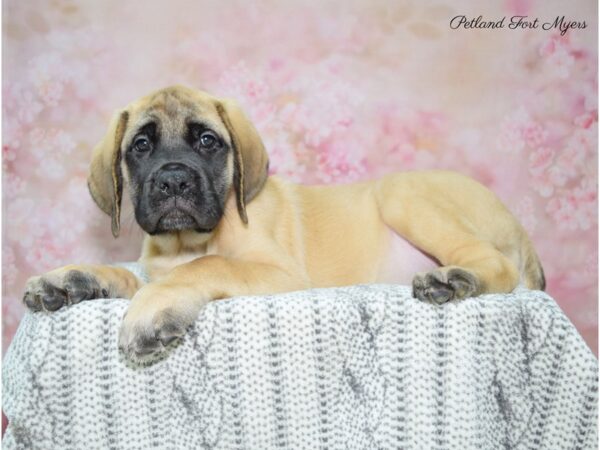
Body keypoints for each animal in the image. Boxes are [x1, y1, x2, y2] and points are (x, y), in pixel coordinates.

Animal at [22, 83, 544, 358]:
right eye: (141, 145)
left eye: (208, 141)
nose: (172, 181)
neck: (187, 241)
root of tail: (521, 227)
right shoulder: (154, 268)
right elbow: (124, 274)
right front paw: (69, 278)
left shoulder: (280, 274)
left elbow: (207, 268)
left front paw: (152, 311)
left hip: (403, 194)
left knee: (496, 265)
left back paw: (452, 278)